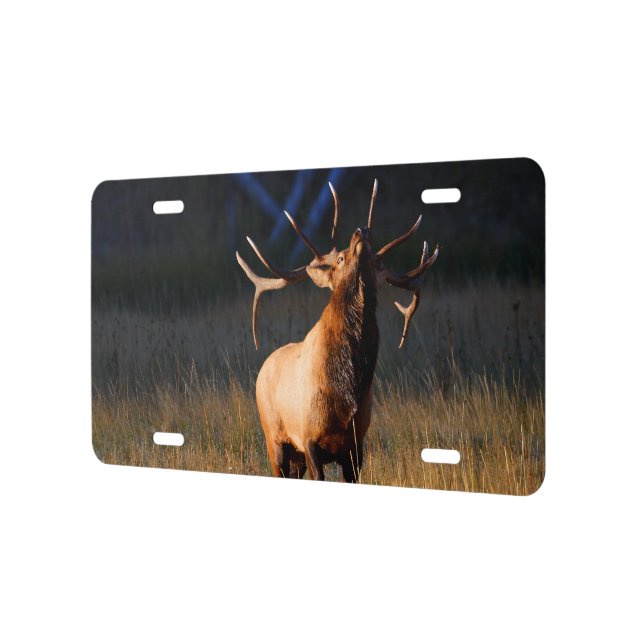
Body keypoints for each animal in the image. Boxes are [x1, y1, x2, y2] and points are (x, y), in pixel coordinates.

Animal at [236, 179, 439, 482]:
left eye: (376, 263)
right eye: (340, 258)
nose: (361, 230)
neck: (346, 391)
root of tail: (264, 367)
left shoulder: (356, 442)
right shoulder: (308, 437)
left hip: (296, 456)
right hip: (274, 438)